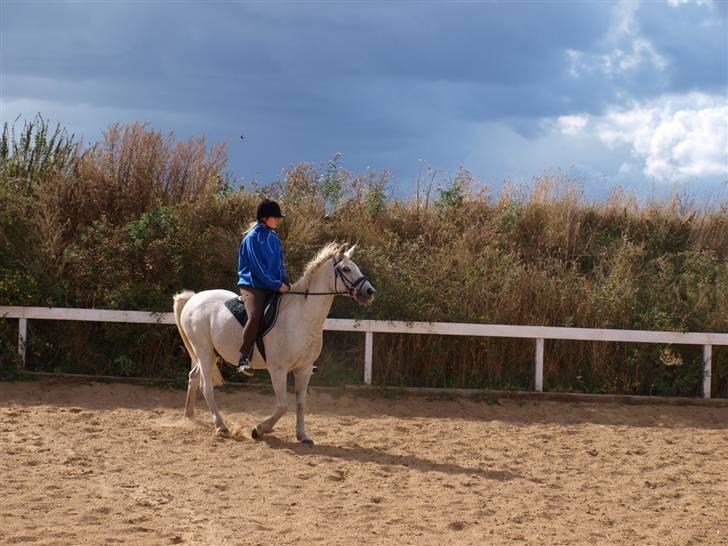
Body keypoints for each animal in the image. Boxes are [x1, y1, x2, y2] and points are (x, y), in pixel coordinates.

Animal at [171, 242, 376, 442]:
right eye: (346, 269)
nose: (370, 291)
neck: (301, 317)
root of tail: (193, 298)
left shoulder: (304, 368)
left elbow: (300, 403)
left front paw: (302, 435)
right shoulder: (278, 369)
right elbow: (283, 406)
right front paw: (259, 430)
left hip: (211, 354)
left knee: (193, 377)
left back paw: (189, 416)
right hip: (204, 351)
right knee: (206, 387)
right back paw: (221, 426)